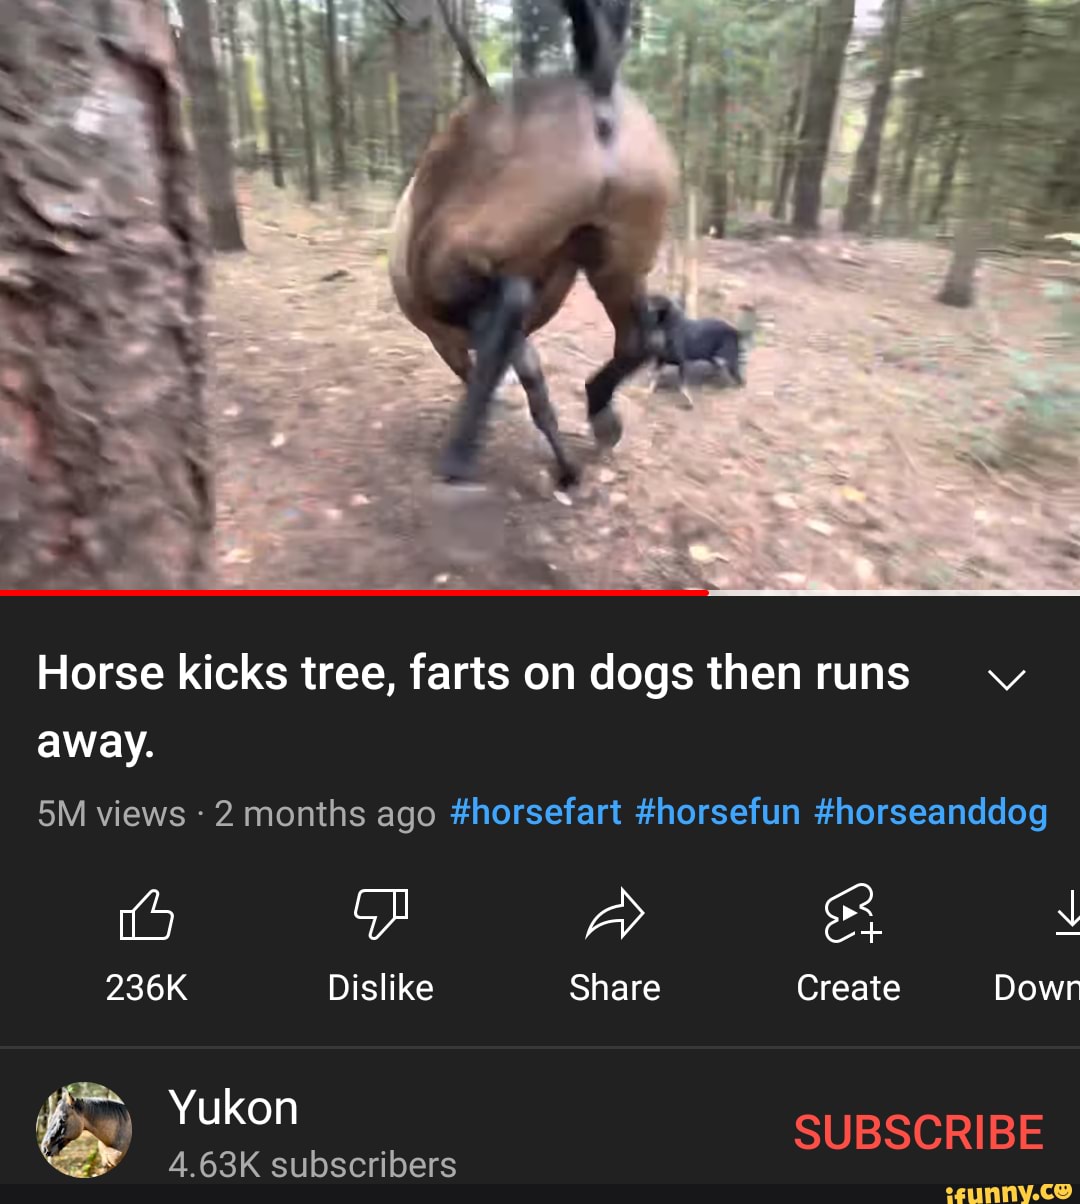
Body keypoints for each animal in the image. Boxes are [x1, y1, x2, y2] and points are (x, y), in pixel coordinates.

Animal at [389, 0, 679, 490]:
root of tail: (595, 86)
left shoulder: (449, 334)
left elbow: (491, 373)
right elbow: (536, 394)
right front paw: (567, 467)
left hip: (457, 255)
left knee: (509, 304)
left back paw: (458, 457)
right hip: (615, 258)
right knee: (640, 337)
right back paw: (599, 414)